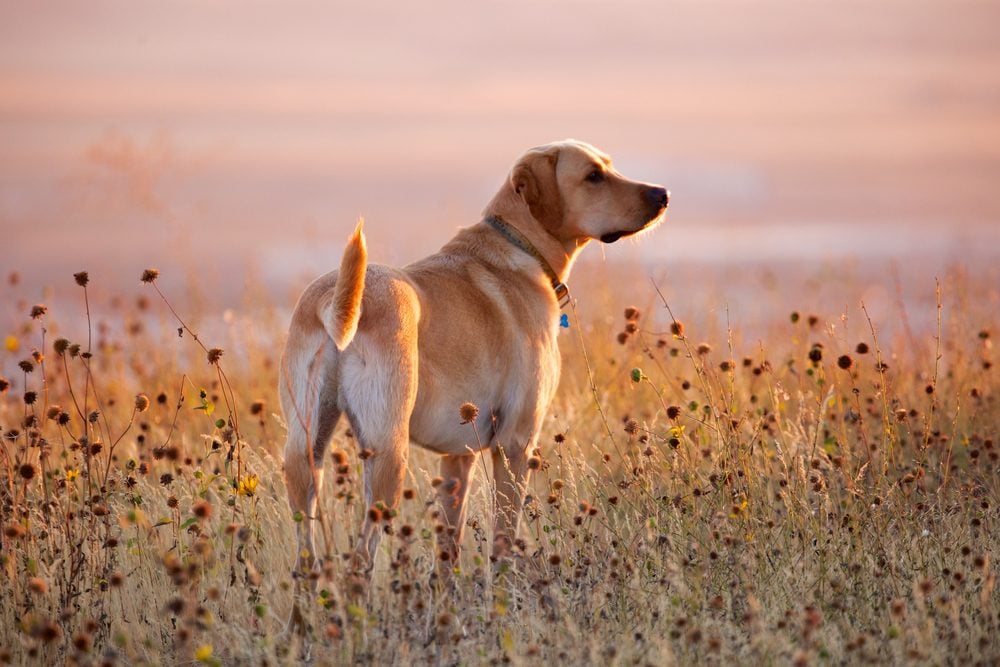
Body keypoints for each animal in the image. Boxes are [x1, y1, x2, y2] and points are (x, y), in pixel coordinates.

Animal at [282, 140, 668, 580]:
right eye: (593, 176)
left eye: (609, 167)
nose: (663, 195)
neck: (520, 245)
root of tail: (334, 300)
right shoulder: (515, 444)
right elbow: (503, 537)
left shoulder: (457, 458)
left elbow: (449, 548)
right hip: (387, 457)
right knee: (360, 560)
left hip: (307, 451)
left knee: (306, 559)